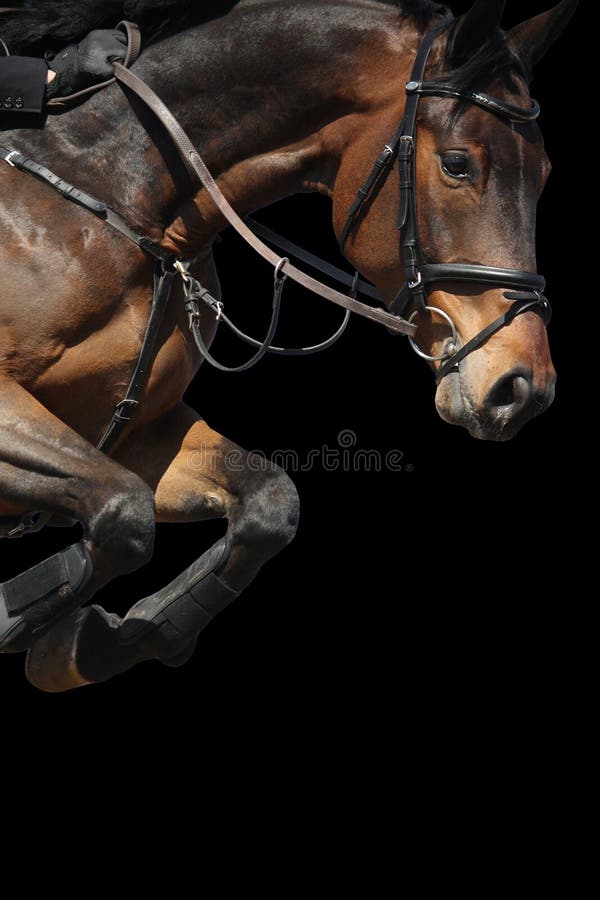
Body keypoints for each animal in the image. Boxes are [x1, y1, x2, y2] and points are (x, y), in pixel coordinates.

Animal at [0, 0, 576, 692]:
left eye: (543, 175)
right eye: (459, 164)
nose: (522, 387)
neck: (123, 194)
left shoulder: (139, 431)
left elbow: (263, 505)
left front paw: (86, 646)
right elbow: (122, 513)